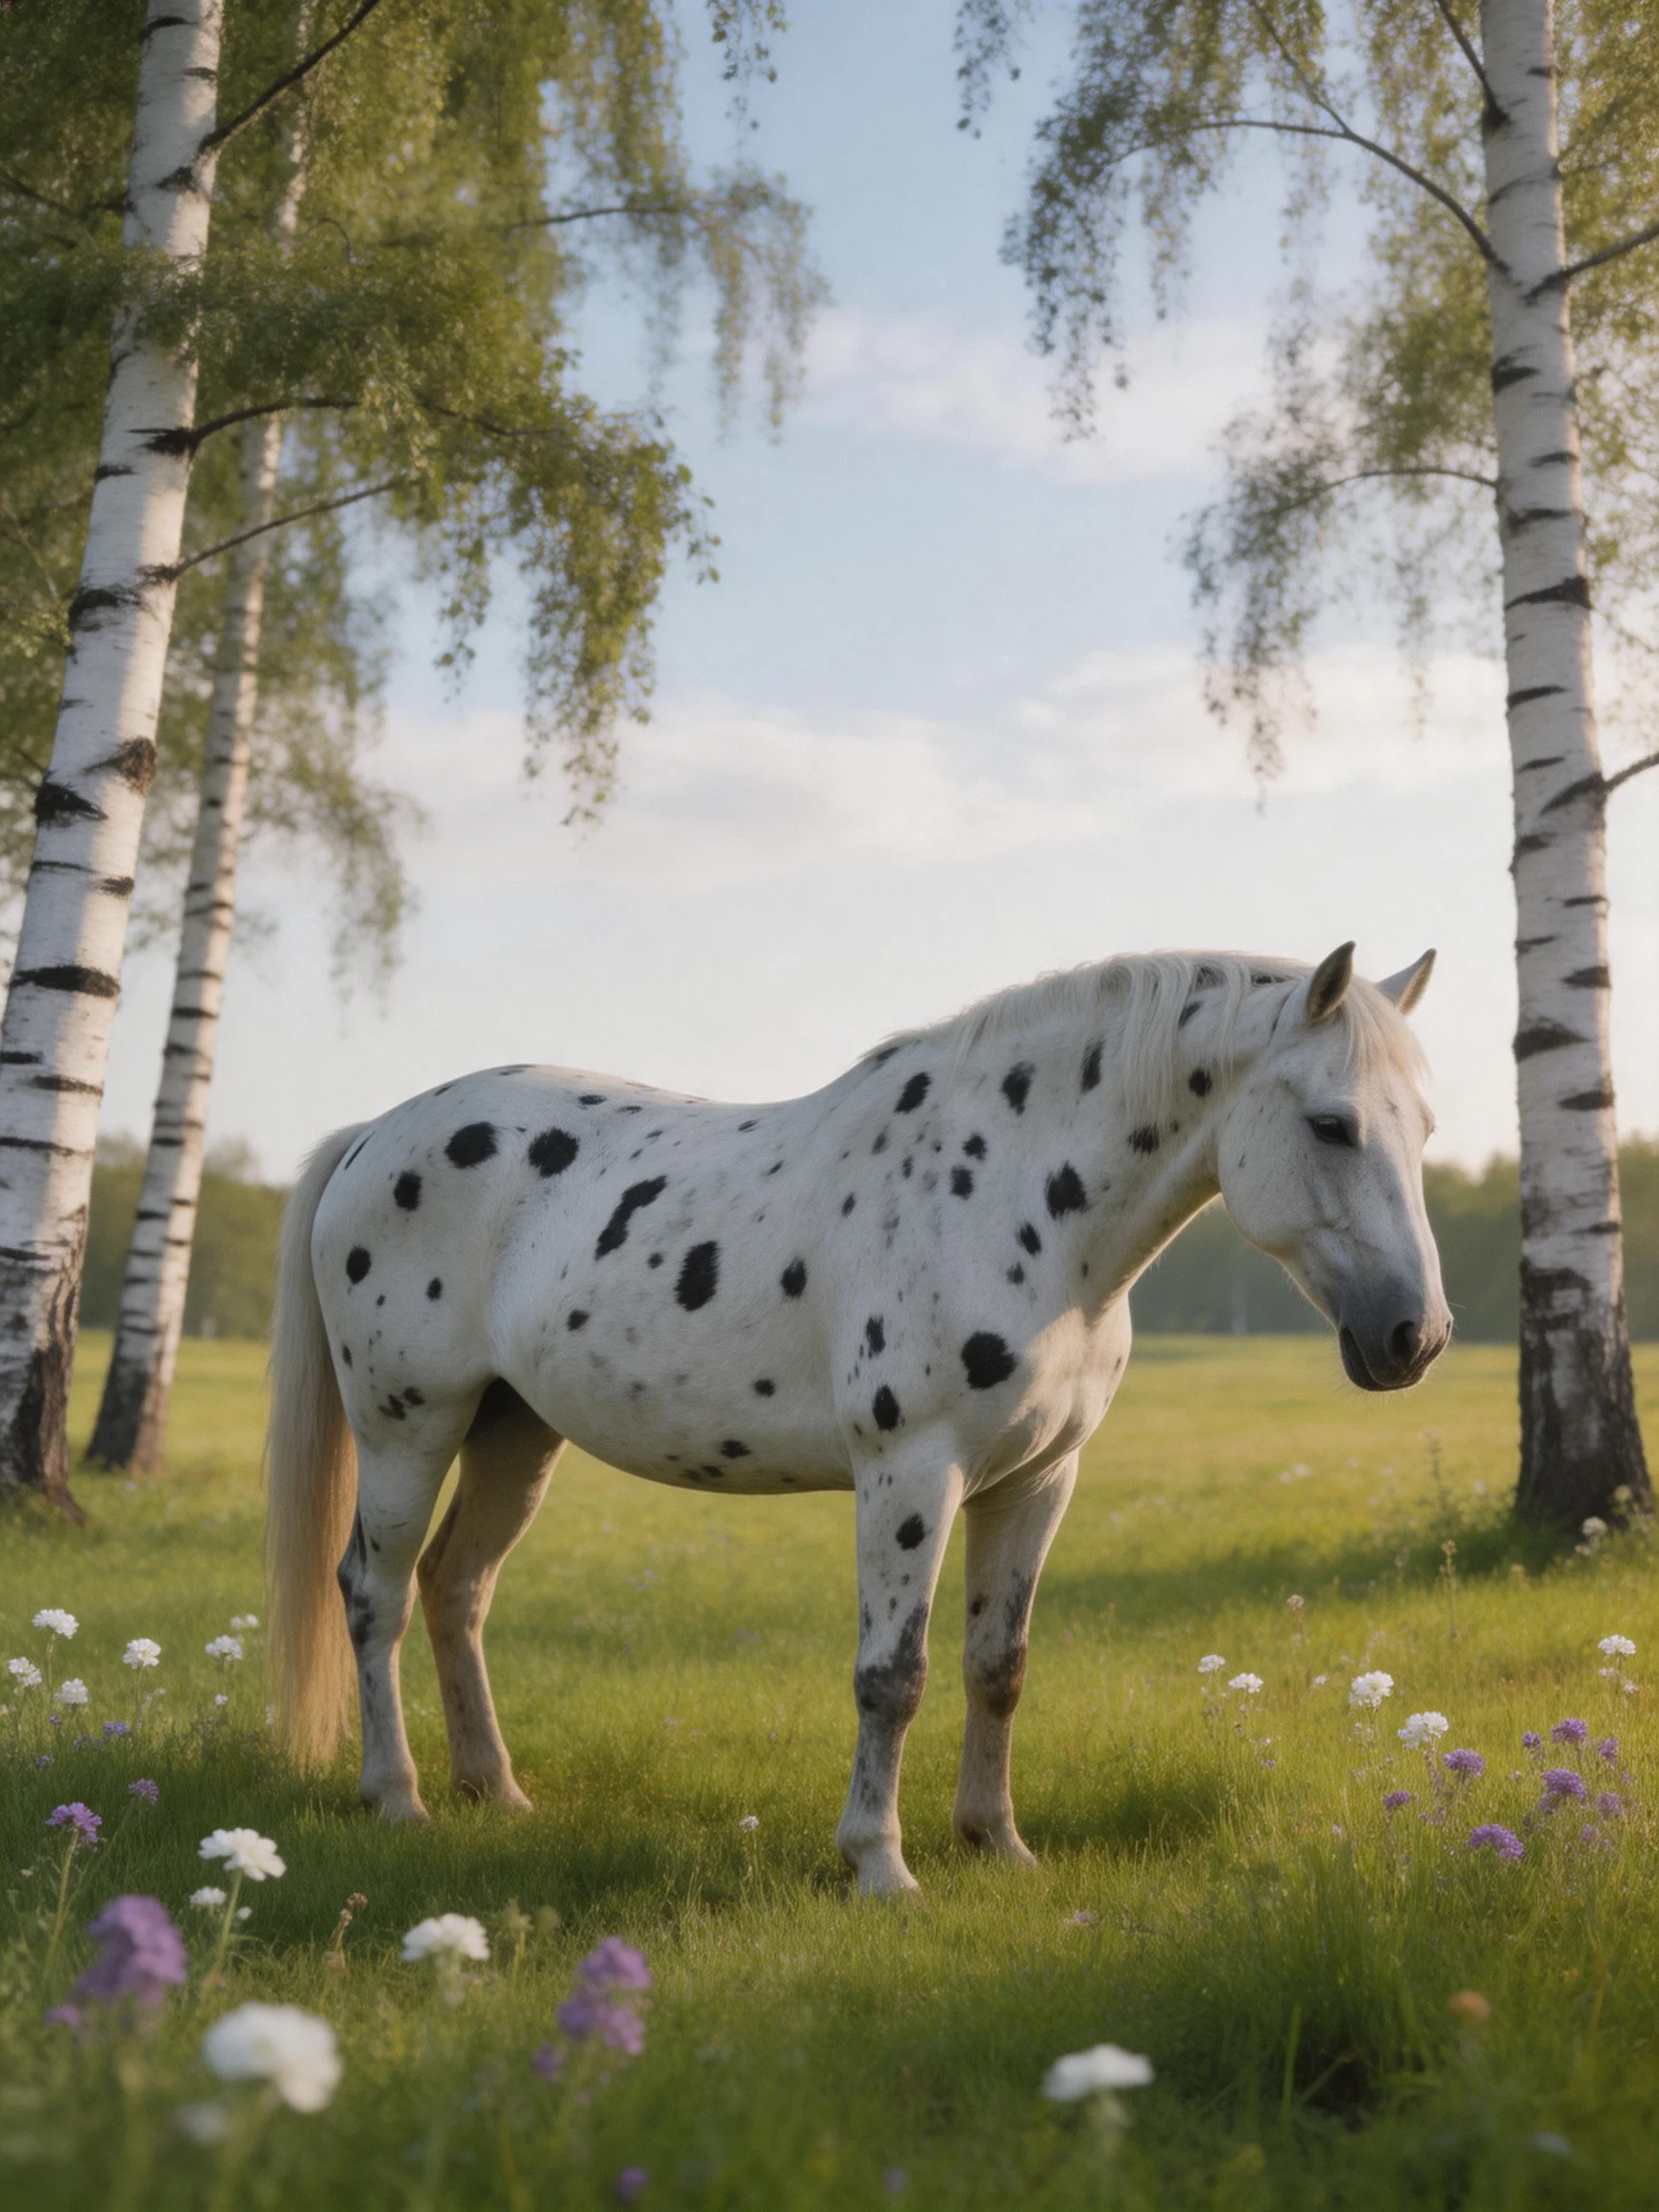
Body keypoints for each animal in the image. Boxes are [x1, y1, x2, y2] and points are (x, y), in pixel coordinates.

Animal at [265, 940, 1448, 1894]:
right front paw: (880, 1864)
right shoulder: (909, 1474)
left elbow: (998, 1666)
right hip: (407, 1427)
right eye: (1332, 1124)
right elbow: (894, 1677)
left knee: (457, 1587)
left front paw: (998, 1845)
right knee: (372, 1594)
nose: (1416, 1336)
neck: (1011, 1196)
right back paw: (399, 1798)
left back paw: (495, 1790)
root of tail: (375, 1134)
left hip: (514, 1431)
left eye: (1424, 1127)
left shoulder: (1037, 1481)